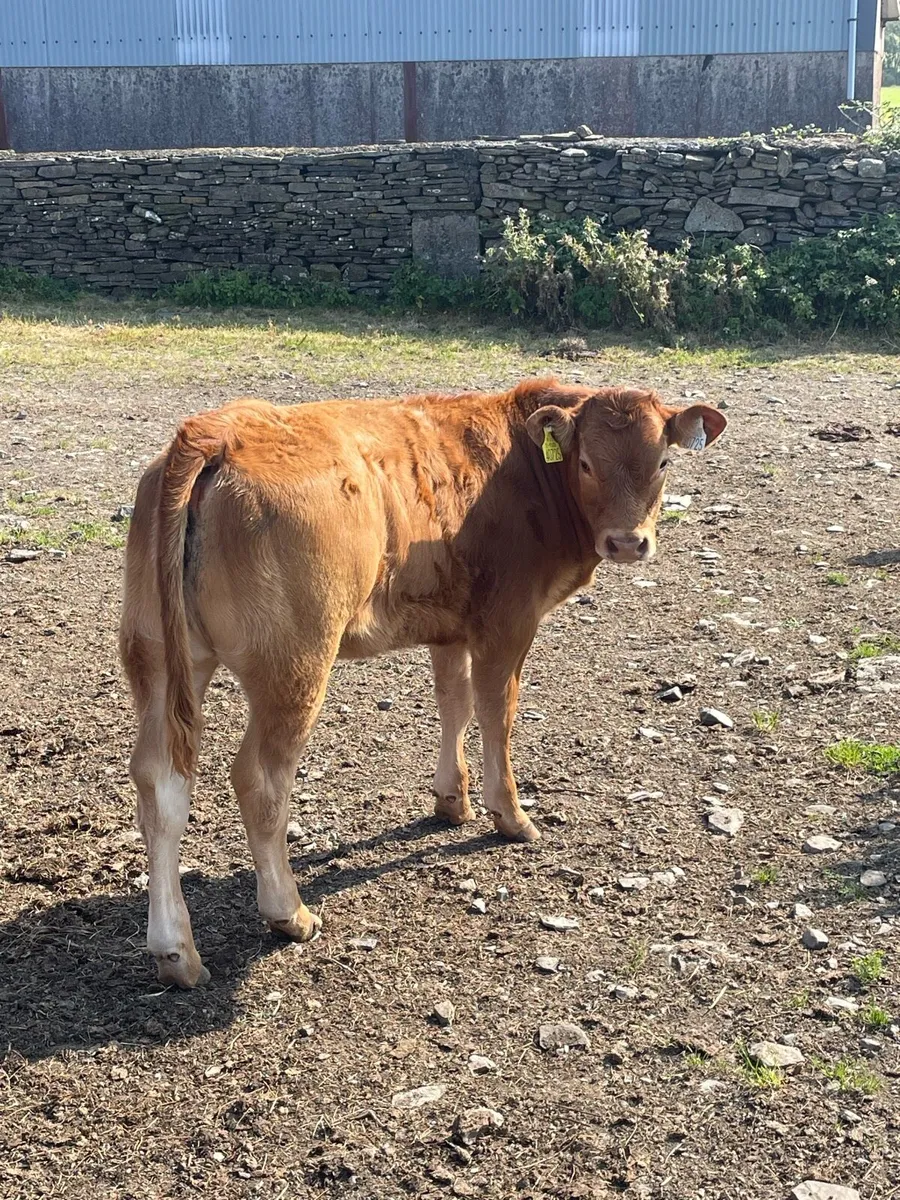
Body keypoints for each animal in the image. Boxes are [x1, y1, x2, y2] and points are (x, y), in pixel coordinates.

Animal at [120, 378, 726, 987]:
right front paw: (510, 814)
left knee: (159, 779)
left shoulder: (451, 622)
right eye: (584, 462)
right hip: (294, 661)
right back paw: (289, 913)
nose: (627, 542)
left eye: (664, 461)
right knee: (260, 778)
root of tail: (218, 430)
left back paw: (175, 952)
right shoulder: (508, 620)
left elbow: (454, 702)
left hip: (158, 654)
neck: (524, 463)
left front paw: (451, 798)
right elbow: (496, 712)